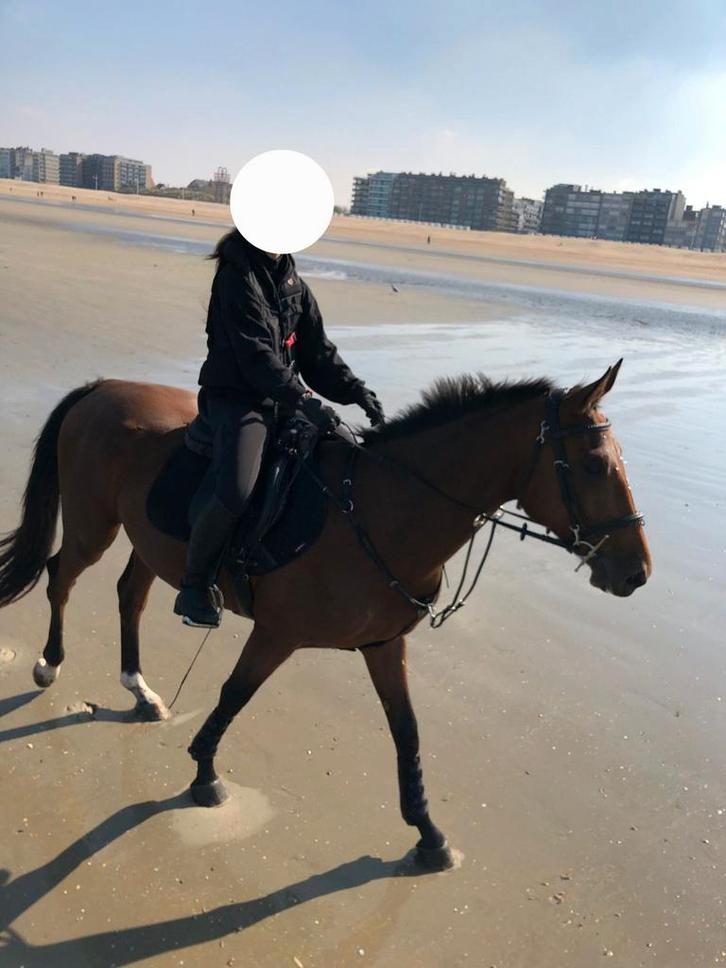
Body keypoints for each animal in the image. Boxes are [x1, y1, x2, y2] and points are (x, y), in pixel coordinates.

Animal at [0, 361, 651, 871]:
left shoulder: (385, 645)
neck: (381, 510)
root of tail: (102, 387)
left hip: (150, 543)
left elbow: (406, 731)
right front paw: (205, 775)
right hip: (94, 524)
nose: (637, 572)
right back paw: (48, 665)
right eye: (594, 465)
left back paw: (139, 690)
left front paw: (428, 833)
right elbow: (234, 695)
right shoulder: (276, 634)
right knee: (61, 576)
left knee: (129, 595)